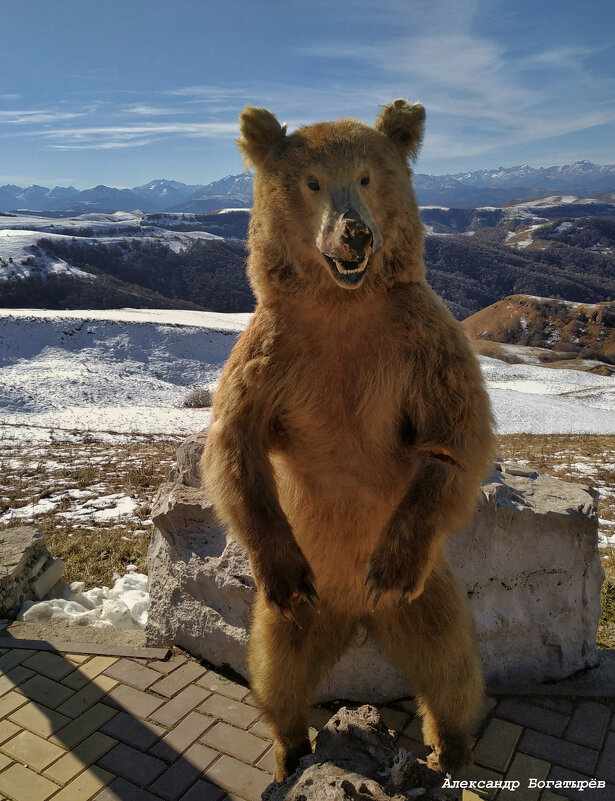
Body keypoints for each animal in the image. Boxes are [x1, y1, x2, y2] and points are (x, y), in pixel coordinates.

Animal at [202, 100, 496, 780]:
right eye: (312, 183)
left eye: (366, 176)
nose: (356, 234)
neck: (343, 305)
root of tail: (355, 617)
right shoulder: (273, 351)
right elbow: (236, 442)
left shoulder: (419, 339)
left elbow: (453, 438)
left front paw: (387, 565)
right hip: (294, 611)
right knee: (275, 668)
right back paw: (291, 749)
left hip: (428, 594)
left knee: (451, 664)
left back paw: (452, 747)